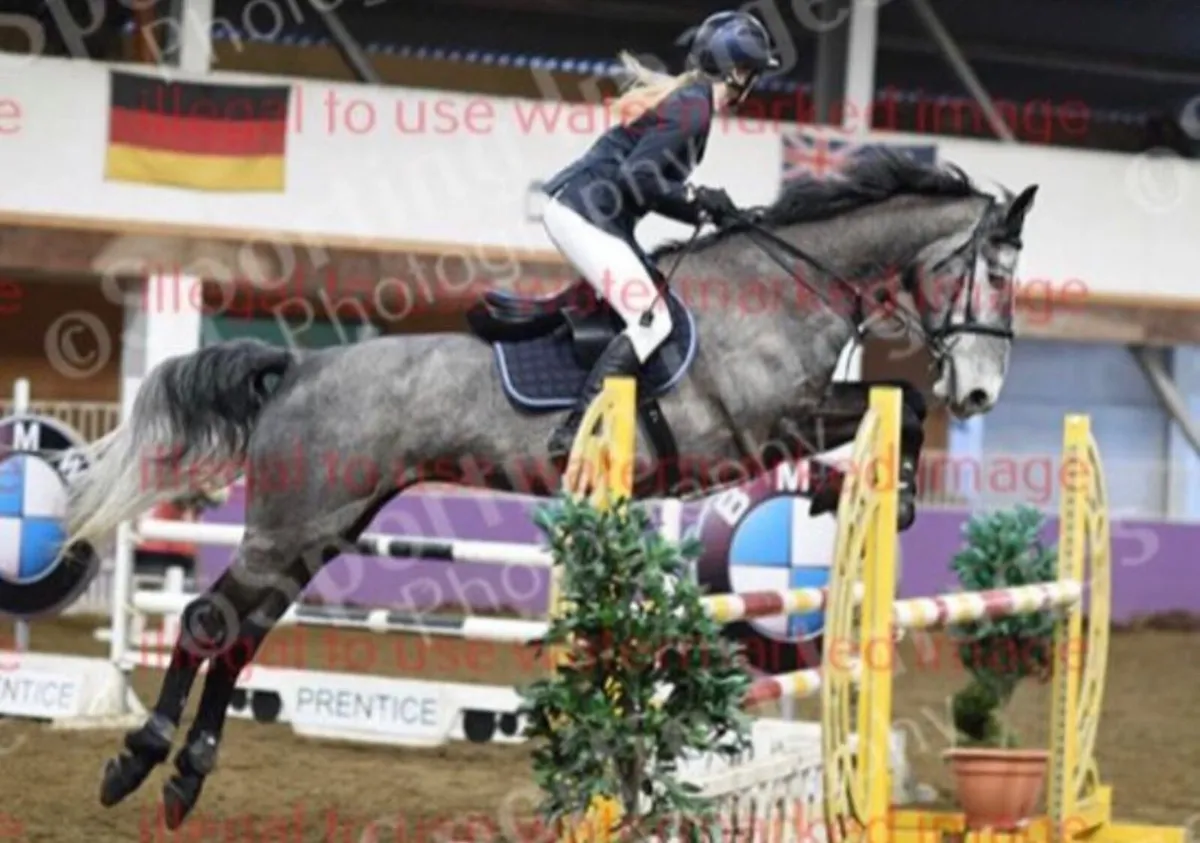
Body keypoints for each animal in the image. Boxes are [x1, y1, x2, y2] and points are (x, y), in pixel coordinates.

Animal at [70, 152, 1035, 826]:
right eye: (994, 273)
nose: (983, 395)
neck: (785, 282)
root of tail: (298, 366)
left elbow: (901, 406)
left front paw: (863, 495)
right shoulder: (759, 427)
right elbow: (897, 403)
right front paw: (881, 493)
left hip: (322, 528)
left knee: (240, 633)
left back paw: (184, 779)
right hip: (291, 525)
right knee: (209, 621)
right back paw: (132, 763)